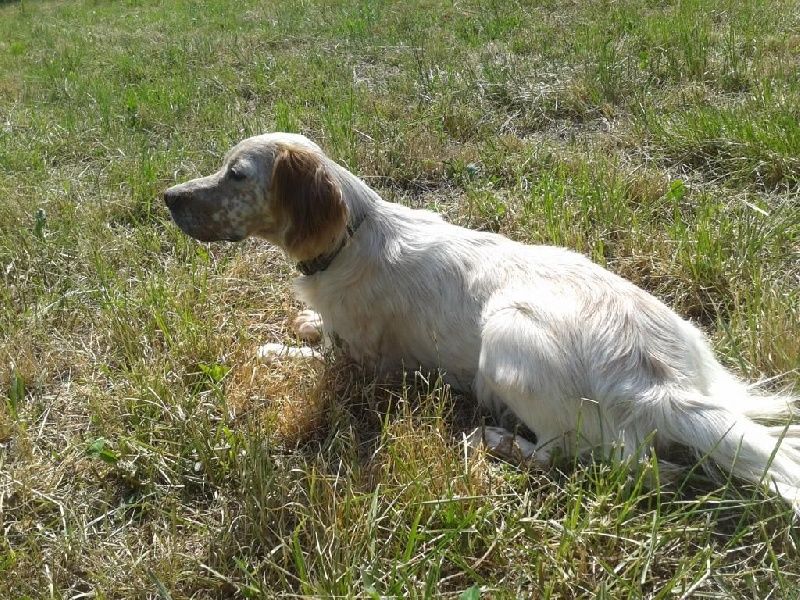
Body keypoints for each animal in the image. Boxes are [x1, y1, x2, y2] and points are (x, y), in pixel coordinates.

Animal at [164, 131, 800, 506]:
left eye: (237, 175)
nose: (168, 197)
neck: (350, 236)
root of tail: (656, 380)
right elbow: (315, 328)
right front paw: (303, 321)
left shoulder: (364, 365)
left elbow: (303, 355)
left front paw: (275, 347)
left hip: (508, 335)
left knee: (582, 456)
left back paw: (496, 440)